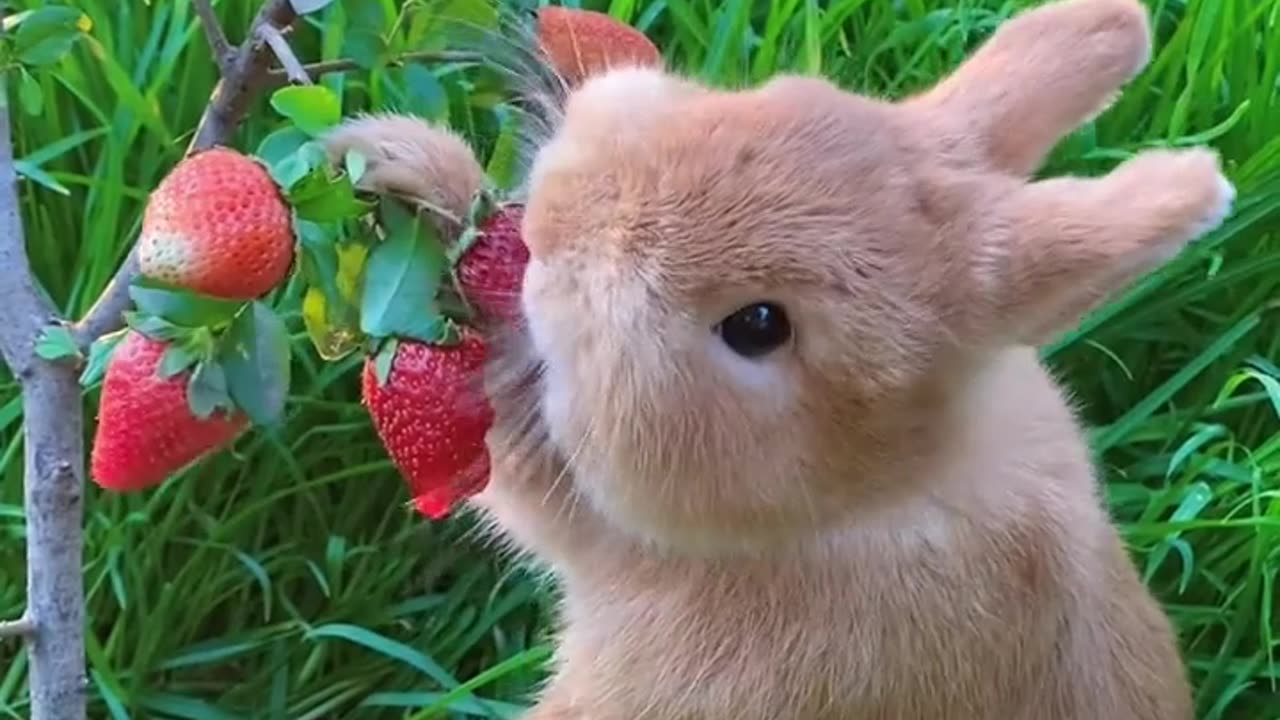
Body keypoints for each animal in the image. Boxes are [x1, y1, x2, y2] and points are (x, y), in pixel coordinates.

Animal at [325, 0, 1233, 712]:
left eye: (759, 325)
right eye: (771, 100)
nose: (554, 220)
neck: (865, 492)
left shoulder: (601, 508)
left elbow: (504, 476)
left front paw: (408, 162)